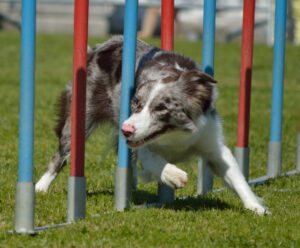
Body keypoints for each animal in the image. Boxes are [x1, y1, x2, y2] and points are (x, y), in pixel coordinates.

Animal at [36, 36, 268, 215]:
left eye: (162, 108)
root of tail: (100, 46)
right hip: (79, 118)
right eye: (136, 103)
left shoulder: (212, 143)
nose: (126, 129)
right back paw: (39, 188)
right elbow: (153, 159)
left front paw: (257, 207)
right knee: (60, 156)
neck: (176, 135)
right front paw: (173, 174)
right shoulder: (138, 142)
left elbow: (236, 176)